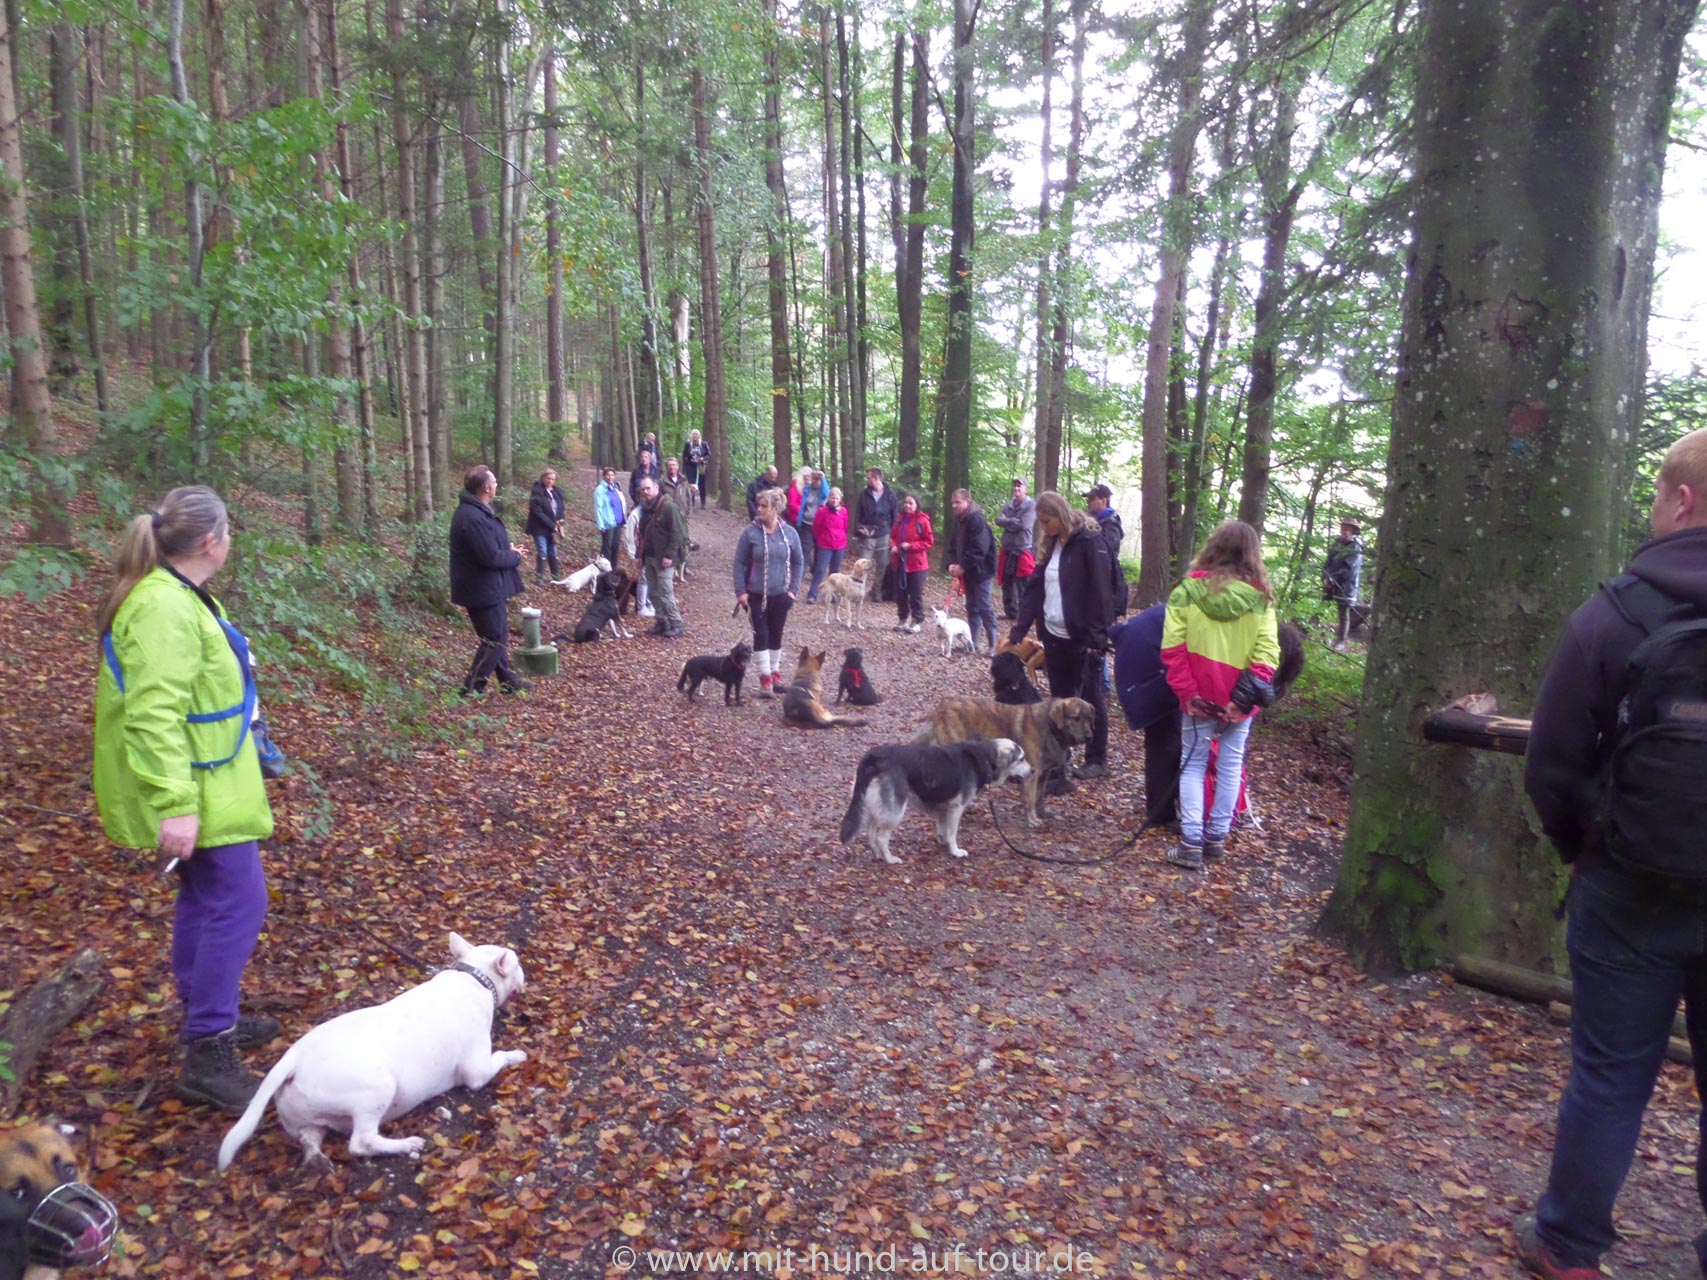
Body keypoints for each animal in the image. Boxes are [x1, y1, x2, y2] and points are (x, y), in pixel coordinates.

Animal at [220, 935, 525, 1174]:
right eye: (518, 963)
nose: (525, 974)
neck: (474, 978)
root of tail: (292, 1060)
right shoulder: (477, 1071)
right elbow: (499, 1057)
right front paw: (517, 1055)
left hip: (304, 1117)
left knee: (310, 1137)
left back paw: (317, 1160)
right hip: (377, 1087)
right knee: (361, 1142)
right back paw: (406, 1144)